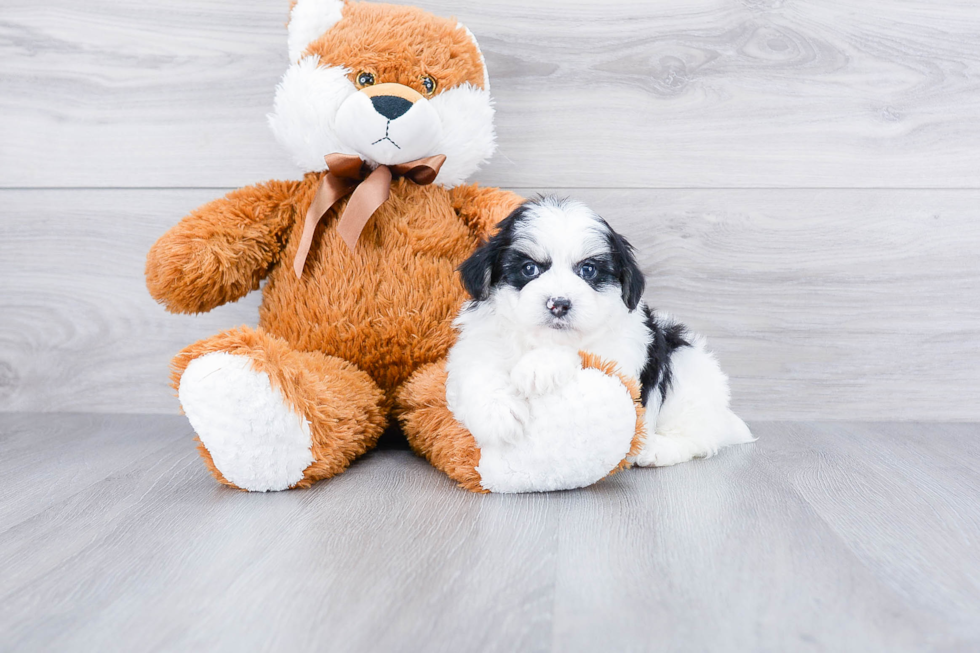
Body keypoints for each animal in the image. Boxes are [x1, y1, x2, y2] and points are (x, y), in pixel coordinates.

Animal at [448, 195, 756, 468]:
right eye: (529, 268)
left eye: (588, 270)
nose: (559, 304)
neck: (540, 340)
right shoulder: (479, 344)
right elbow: (480, 371)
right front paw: (498, 413)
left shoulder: (622, 354)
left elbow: (586, 351)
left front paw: (540, 366)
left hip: (687, 369)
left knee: (698, 434)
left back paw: (656, 449)